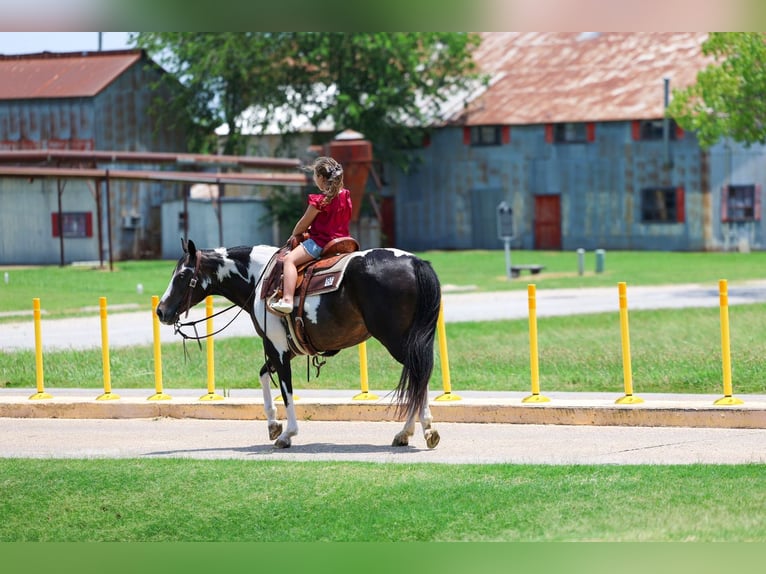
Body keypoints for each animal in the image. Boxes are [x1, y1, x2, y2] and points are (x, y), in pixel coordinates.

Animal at [155, 238, 443, 450]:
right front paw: (273, 425)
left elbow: (286, 390)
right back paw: (412, 432)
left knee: (418, 376)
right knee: (419, 378)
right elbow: (263, 375)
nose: (161, 311)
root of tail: (415, 262)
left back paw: (418, 430)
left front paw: (287, 434)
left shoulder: (277, 349)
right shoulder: (284, 349)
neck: (260, 278)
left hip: (396, 340)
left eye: (182, 275)